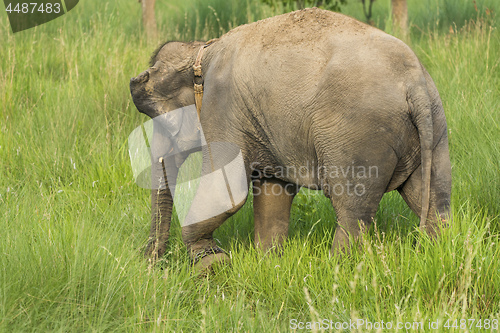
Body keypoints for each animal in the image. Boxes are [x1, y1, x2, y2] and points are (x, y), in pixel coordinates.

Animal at [131, 7, 452, 270]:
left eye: (161, 121)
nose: (152, 264)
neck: (201, 51)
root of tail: (414, 83)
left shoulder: (222, 107)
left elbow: (228, 192)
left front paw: (210, 265)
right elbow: (273, 191)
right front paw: (268, 262)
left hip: (358, 136)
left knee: (353, 212)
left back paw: (337, 270)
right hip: (435, 126)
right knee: (434, 201)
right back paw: (434, 251)